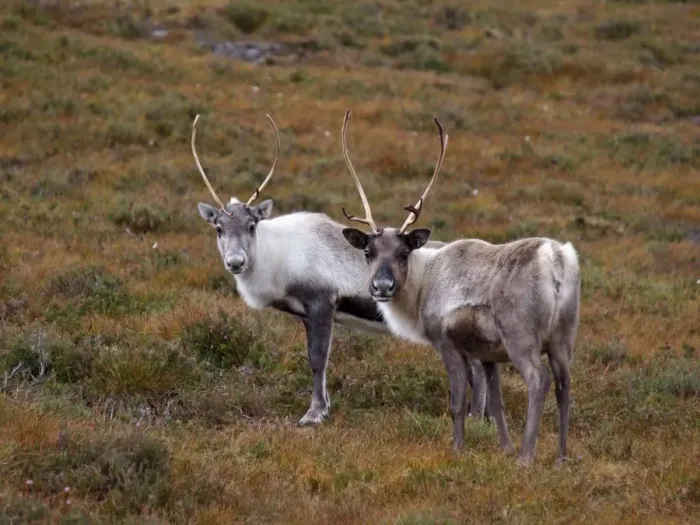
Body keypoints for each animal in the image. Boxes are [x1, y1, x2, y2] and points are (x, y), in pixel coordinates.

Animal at [191, 114, 491, 427]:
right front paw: (324, 406)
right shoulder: (306, 314)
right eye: (219, 228)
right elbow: (315, 358)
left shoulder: (322, 301)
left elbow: (318, 358)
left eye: (252, 225)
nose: (236, 261)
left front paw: (314, 413)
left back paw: (476, 418)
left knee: (477, 368)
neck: (278, 255)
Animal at [338, 110, 580, 465]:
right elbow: (496, 402)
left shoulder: (447, 342)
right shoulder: (489, 353)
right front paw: (504, 447)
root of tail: (556, 259)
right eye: (368, 252)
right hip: (563, 336)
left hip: (521, 336)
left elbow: (458, 403)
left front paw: (458, 448)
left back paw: (526, 457)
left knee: (539, 380)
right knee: (565, 384)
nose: (382, 286)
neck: (422, 286)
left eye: (403, 252)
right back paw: (561, 457)